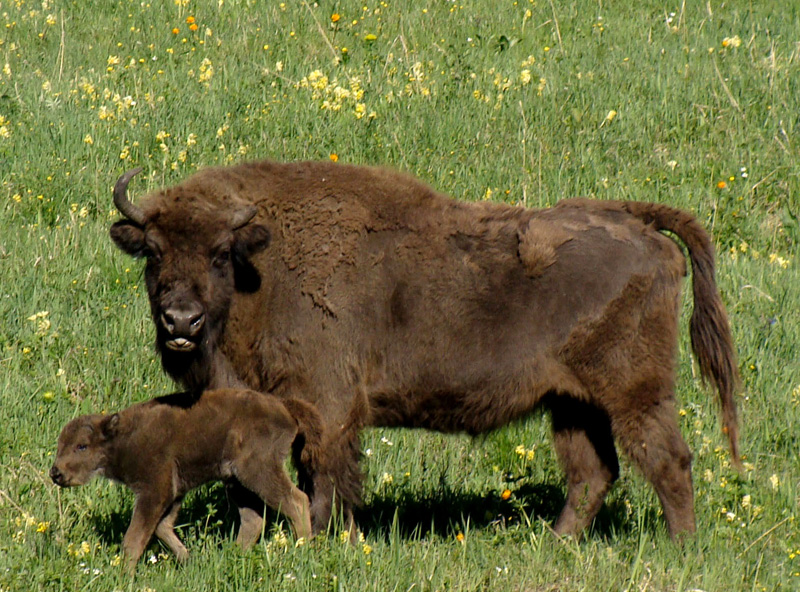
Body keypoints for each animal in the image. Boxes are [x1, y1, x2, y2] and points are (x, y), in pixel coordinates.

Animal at [50, 388, 316, 572]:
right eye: (60, 444)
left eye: (82, 446)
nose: (56, 473)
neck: (122, 438)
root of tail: (283, 407)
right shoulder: (174, 492)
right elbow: (162, 527)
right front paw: (188, 560)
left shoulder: (155, 491)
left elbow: (135, 536)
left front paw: (125, 574)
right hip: (236, 482)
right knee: (254, 519)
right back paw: (233, 555)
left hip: (258, 471)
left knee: (296, 501)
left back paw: (302, 547)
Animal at [109, 160, 740, 540]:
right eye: (154, 252)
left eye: (220, 252)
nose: (181, 320)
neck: (261, 270)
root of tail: (638, 223)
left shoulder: (325, 409)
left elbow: (324, 477)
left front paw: (327, 538)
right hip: (572, 403)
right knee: (593, 473)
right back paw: (555, 544)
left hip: (635, 393)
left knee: (667, 460)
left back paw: (680, 547)